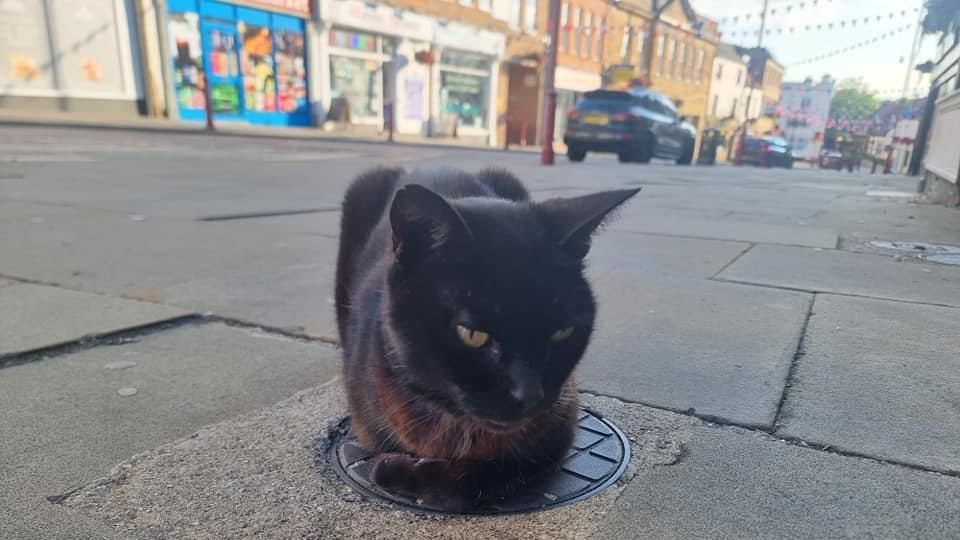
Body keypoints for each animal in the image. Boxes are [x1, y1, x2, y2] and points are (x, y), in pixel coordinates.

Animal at [334, 167, 640, 508]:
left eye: (562, 332)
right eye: (472, 334)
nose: (530, 393)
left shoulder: (560, 423)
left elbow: (490, 473)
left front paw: (397, 470)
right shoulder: (367, 423)